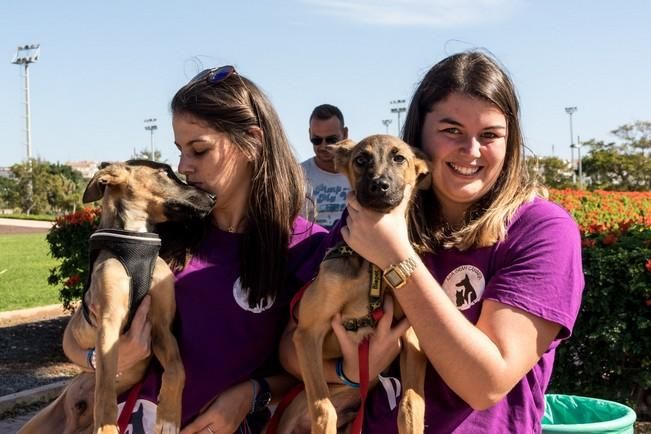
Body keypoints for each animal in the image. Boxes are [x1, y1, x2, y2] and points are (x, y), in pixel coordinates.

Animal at [18, 161, 214, 434]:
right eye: (166, 172)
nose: (213, 198)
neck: (137, 246)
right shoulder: (108, 323)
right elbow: (105, 387)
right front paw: (108, 428)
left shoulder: (162, 327)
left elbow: (177, 369)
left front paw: (168, 418)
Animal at [290, 134, 432, 432]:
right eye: (360, 159)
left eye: (399, 158)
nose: (379, 185)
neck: (373, 268)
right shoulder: (307, 332)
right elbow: (323, 409)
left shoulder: (411, 337)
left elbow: (411, 404)